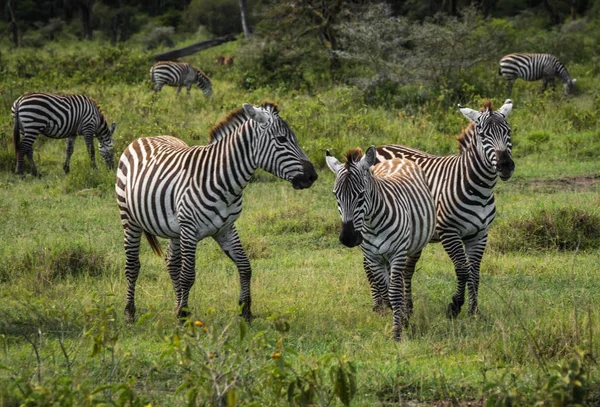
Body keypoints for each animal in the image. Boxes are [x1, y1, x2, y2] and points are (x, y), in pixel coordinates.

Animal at [114, 103, 316, 326]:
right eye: (281, 139)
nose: (312, 176)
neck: (223, 181)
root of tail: (144, 137)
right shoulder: (190, 230)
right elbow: (188, 276)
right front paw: (184, 316)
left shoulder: (226, 228)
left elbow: (245, 267)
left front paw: (246, 311)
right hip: (129, 217)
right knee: (133, 266)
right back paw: (130, 313)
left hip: (175, 229)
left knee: (171, 263)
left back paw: (175, 305)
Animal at [326, 147, 434, 342]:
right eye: (335, 195)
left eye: (361, 195)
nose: (348, 238)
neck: (372, 223)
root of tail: (398, 159)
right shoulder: (373, 258)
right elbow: (386, 291)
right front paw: (396, 315)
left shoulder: (397, 254)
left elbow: (394, 293)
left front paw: (398, 332)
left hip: (413, 248)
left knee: (407, 275)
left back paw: (408, 309)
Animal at [378, 100, 512, 320]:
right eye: (483, 135)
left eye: (508, 131)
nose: (506, 165)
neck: (480, 189)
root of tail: (379, 146)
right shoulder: (449, 232)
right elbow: (463, 270)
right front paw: (455, 306)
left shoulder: (480, 234)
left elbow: (475, 272)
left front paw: (474, 312)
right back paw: (382, 307)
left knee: (405, 269)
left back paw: (407, 308)